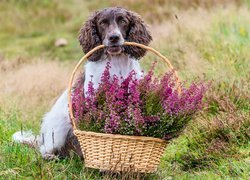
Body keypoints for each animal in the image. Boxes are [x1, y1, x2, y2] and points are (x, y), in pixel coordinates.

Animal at [12, 6, 152, 159]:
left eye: (123, 21)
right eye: (102, 23)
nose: (114, 37)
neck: (117, 64)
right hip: (58, 129)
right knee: (44, 149)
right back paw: (51, 156)